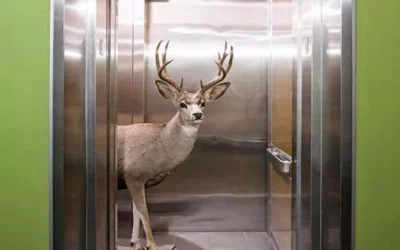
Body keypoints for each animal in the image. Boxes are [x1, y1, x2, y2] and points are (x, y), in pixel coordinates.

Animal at [117, 40, 233, 250]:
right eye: (182, 104)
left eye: (203, 103)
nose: (197, 115)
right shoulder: (134, 175)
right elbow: (144, 211)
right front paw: (152, 245)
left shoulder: (138, 180)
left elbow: (136, 211)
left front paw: (135, 243)